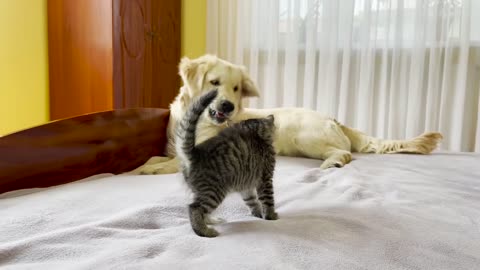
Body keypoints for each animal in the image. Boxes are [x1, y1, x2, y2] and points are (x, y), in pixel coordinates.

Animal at [139, 54, 442, 175]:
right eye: (214, 83)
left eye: (236, 88)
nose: (229, 107)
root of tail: (334, 118)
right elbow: (155, 157)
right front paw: (143, 166)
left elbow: (163, 165)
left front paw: (147, 170)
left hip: (305, 137)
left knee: (345, 153)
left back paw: (332, 163)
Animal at [176, 89, 278, 237]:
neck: (256, 136)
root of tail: (196, 153)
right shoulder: (265, 178)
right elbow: (268, 200)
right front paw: (271, 215)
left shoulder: (246, 185)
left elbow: (252, 201)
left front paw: (258, 213)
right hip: (213, 191)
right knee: (194, 208)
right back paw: (205, 231)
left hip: (201, 191)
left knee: (201, 210)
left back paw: (211, 221)